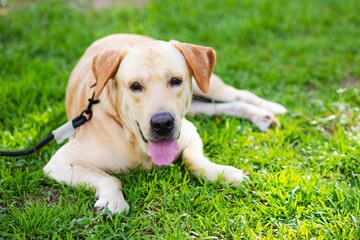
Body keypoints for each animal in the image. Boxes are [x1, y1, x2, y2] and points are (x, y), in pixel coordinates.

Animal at [43, 33, 286, 214]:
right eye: (135, 86)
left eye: (176, 80)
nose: (162, 123)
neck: (136, 142)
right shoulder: (61, 161)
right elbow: (109, 179)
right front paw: (113, 200)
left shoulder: (191, 133)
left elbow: (193, 160)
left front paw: (226, 174)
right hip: (197, 106)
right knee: (226, 105)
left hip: (208, 86)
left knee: (238, 94)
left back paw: (269, 110)